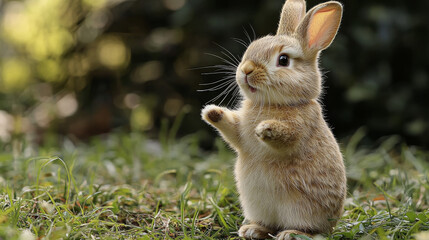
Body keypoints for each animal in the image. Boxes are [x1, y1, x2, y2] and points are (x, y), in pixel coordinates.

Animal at [201, 0, 348, 239]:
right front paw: (211, 112)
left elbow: (288, 137)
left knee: (313, 232)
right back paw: (252, 230)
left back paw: (291, 233)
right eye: (252, 47)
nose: (246, 70)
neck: (273, 104)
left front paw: (265, 128)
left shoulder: (301, 128)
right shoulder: (240, 135)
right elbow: (232, 130)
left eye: (283, 60)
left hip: (302, 209)